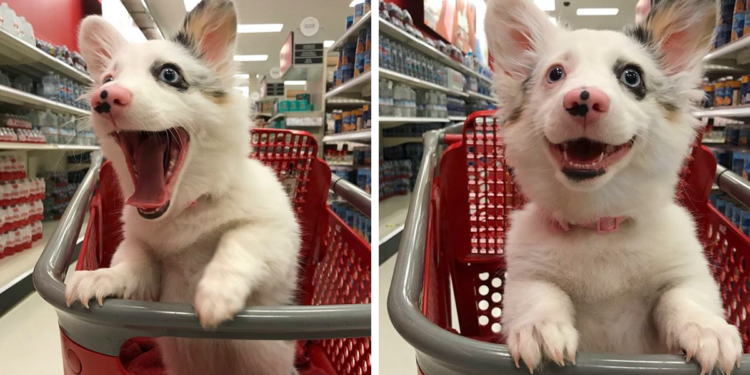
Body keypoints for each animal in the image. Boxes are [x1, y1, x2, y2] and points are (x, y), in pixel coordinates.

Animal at [64, 1, 300, 374]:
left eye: (169, 75)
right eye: (108, 79)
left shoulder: (278, 242)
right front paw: (102, 277)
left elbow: (239, 239)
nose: (105, 97)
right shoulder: (145, 265)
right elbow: (133, 263)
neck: (184, 207)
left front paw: (216, 292)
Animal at [488, 0, 748, 374]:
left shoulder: (687, 275)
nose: (583, 99)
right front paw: (539, 325)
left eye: (631, 76)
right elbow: (540, 295)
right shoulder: (526, 277)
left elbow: (682, 298)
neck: (598, 221)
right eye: (555, 74)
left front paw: (707, 329)